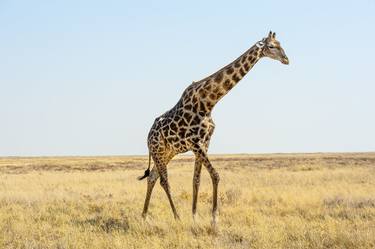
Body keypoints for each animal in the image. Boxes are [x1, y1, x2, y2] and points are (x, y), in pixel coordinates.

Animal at [140, 31, 290, 224]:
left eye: (280, 44)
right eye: (271, 46)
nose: (286, 59)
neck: (208, 103)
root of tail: (148, 136)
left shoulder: (205, 142)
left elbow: (196, 180)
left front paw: (195, 217)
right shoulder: (196, 143)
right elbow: (215, 175)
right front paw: (214, 218)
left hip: (168, 152)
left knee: (152, 177)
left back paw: (144, 217)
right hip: (158, 150)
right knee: (164, 181)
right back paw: (176, 216)